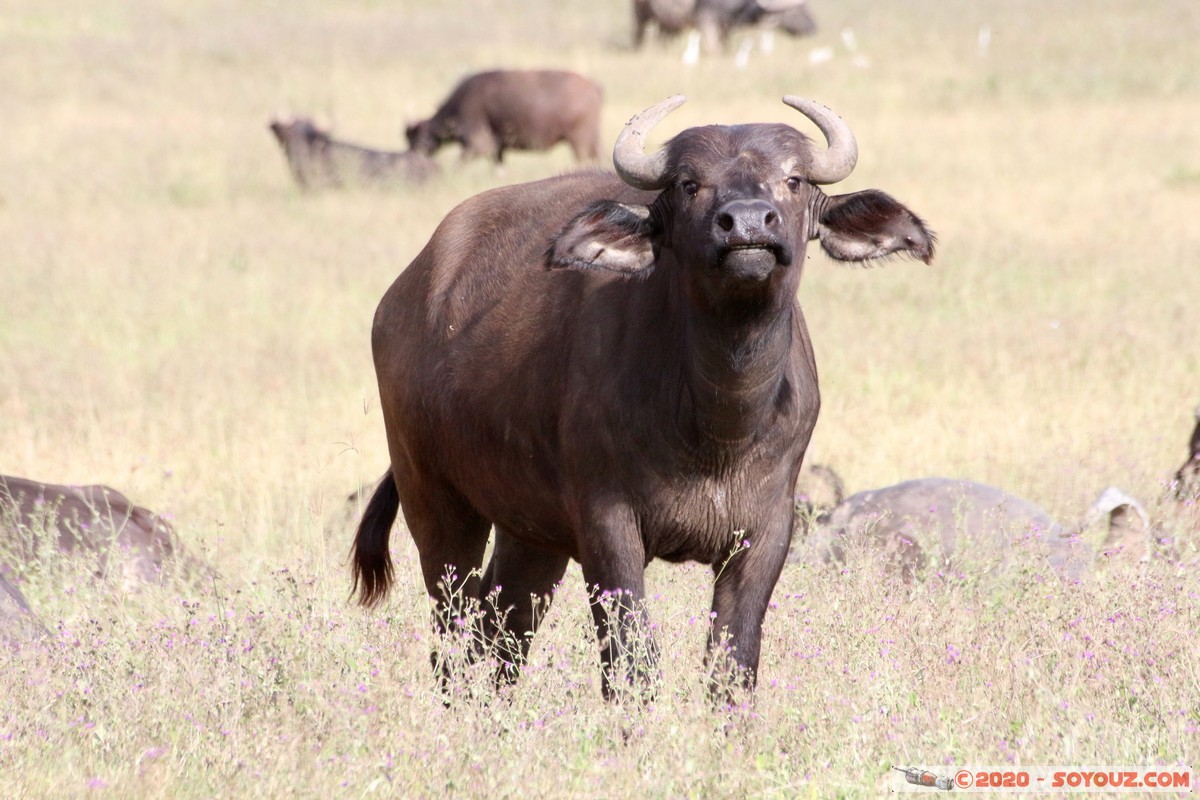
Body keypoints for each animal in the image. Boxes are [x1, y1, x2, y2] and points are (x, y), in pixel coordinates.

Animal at [353, 95, 934, 698]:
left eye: (793, 179)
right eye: (689, 184)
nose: (748, 224)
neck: (716, 427)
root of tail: (405, 294)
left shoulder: (767, 532)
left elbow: (733, 662)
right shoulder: (607, 525)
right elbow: (631, 660)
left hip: (530, 532)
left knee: (502, 626)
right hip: (435, 501)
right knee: (453, 627)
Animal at [404, 70, 603, 163]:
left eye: (419, 138)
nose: (413, 156)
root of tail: (593, 86)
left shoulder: (478, 144)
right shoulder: (498, 149)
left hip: (579, 141)